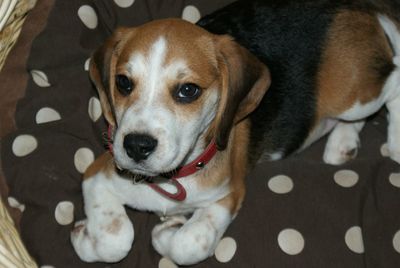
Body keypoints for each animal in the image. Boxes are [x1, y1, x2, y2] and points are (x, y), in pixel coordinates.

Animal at [70, 0, 400, 264]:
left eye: (188, 90)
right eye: (123, 83)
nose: (137, 146)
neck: (174, 179)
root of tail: (358, 6)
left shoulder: (228, 194)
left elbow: (188, 244)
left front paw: (167, 232)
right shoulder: (96, 174)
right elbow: (115, 240)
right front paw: (85, 239)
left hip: (354, 95)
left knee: (393, 82)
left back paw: (394, 142)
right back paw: (342, 143)